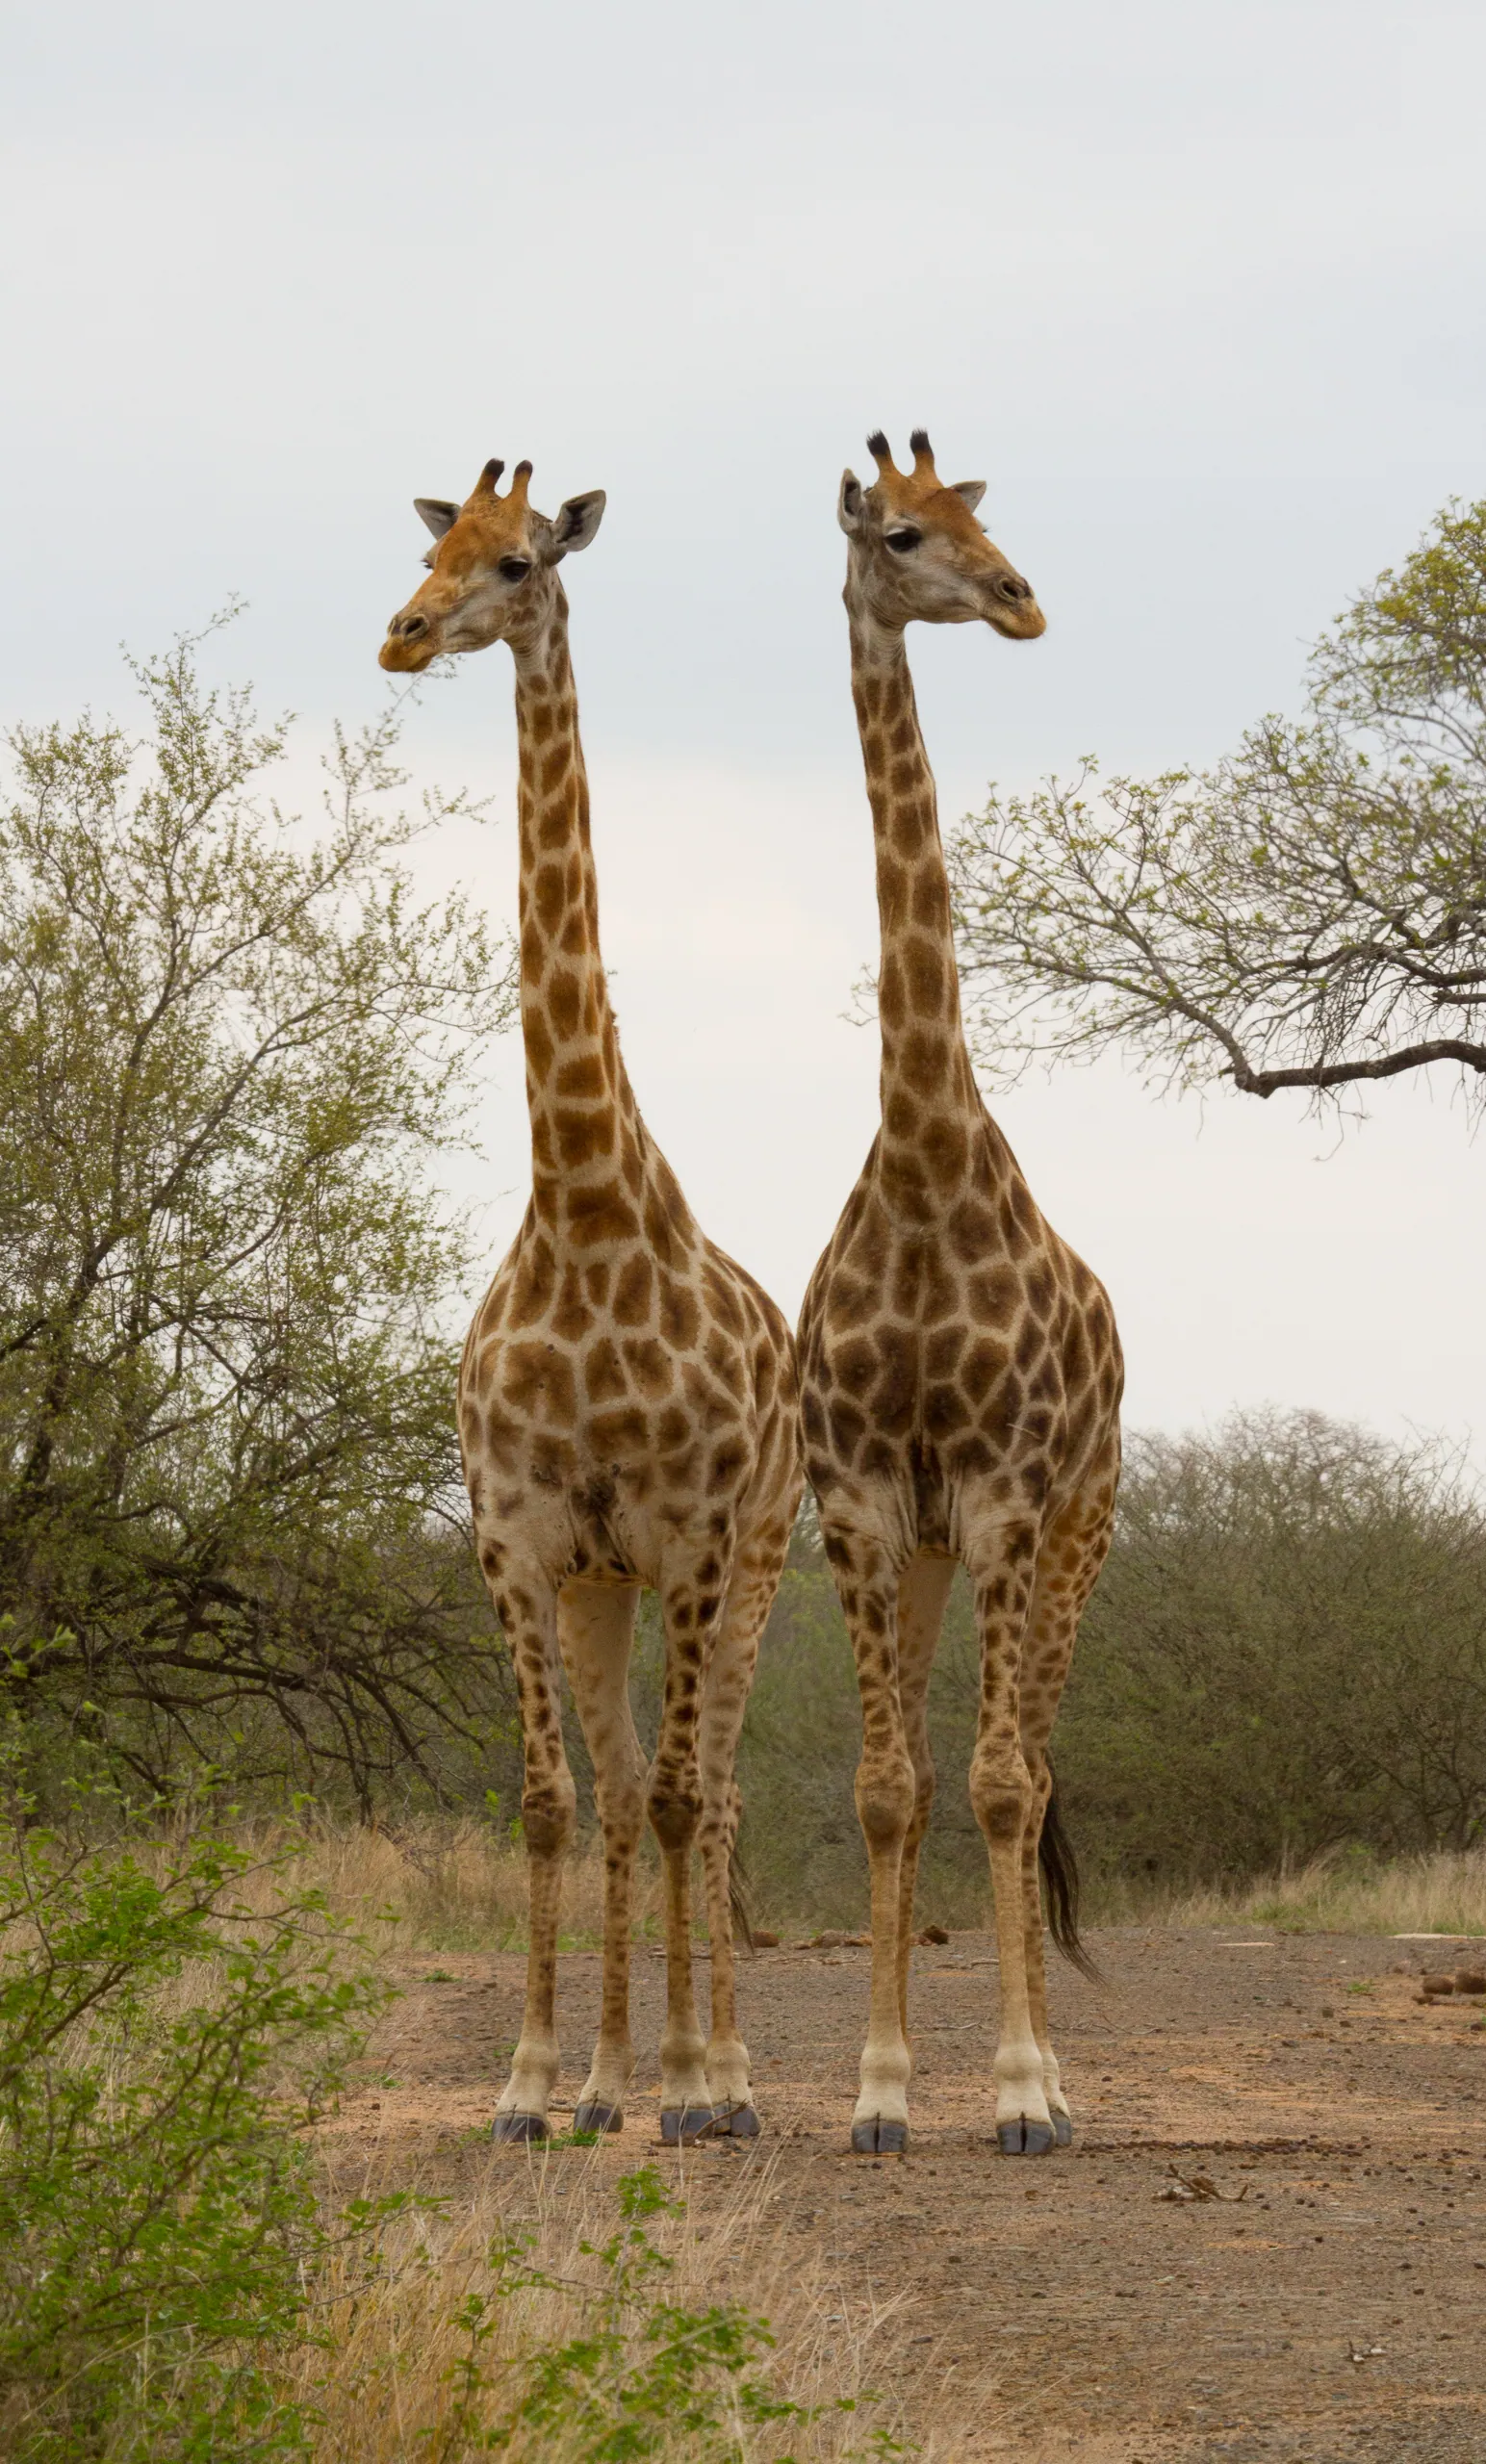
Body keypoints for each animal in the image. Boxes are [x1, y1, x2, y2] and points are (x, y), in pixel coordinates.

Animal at [379, 454, 802, 2144]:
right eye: (434, 548)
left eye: (517, 562)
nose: (402, 633)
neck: (581, 1206)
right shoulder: (523, 1538)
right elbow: (556, 1799)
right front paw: (530, 2086)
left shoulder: (688, 1532)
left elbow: (692, 1796)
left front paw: (699, 2087)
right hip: (604, 1588)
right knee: (631, 1786)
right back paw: (620, 2081)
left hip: (754, 1563)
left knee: (718, 1785)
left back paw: (718, 2075)